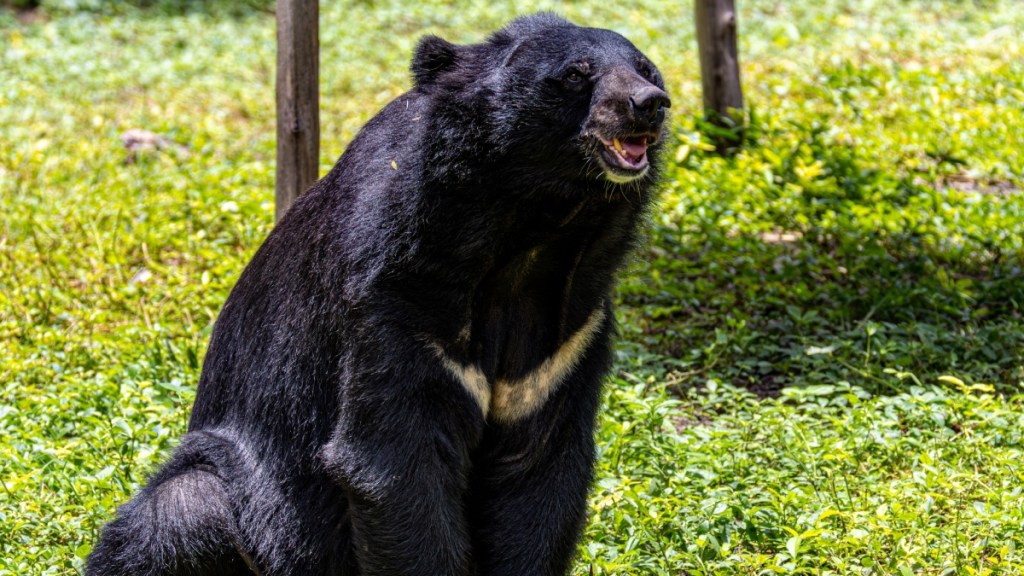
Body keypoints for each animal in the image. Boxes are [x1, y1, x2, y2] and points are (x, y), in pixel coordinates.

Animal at [87, 13, 670, 576]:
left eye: (646, 69)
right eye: (575, 74)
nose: (649, 105)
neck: (533, 234)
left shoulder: (566, 336)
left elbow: (538, 469)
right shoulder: (395, 295)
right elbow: (394, 463)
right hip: (244, 495)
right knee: (181, 511)